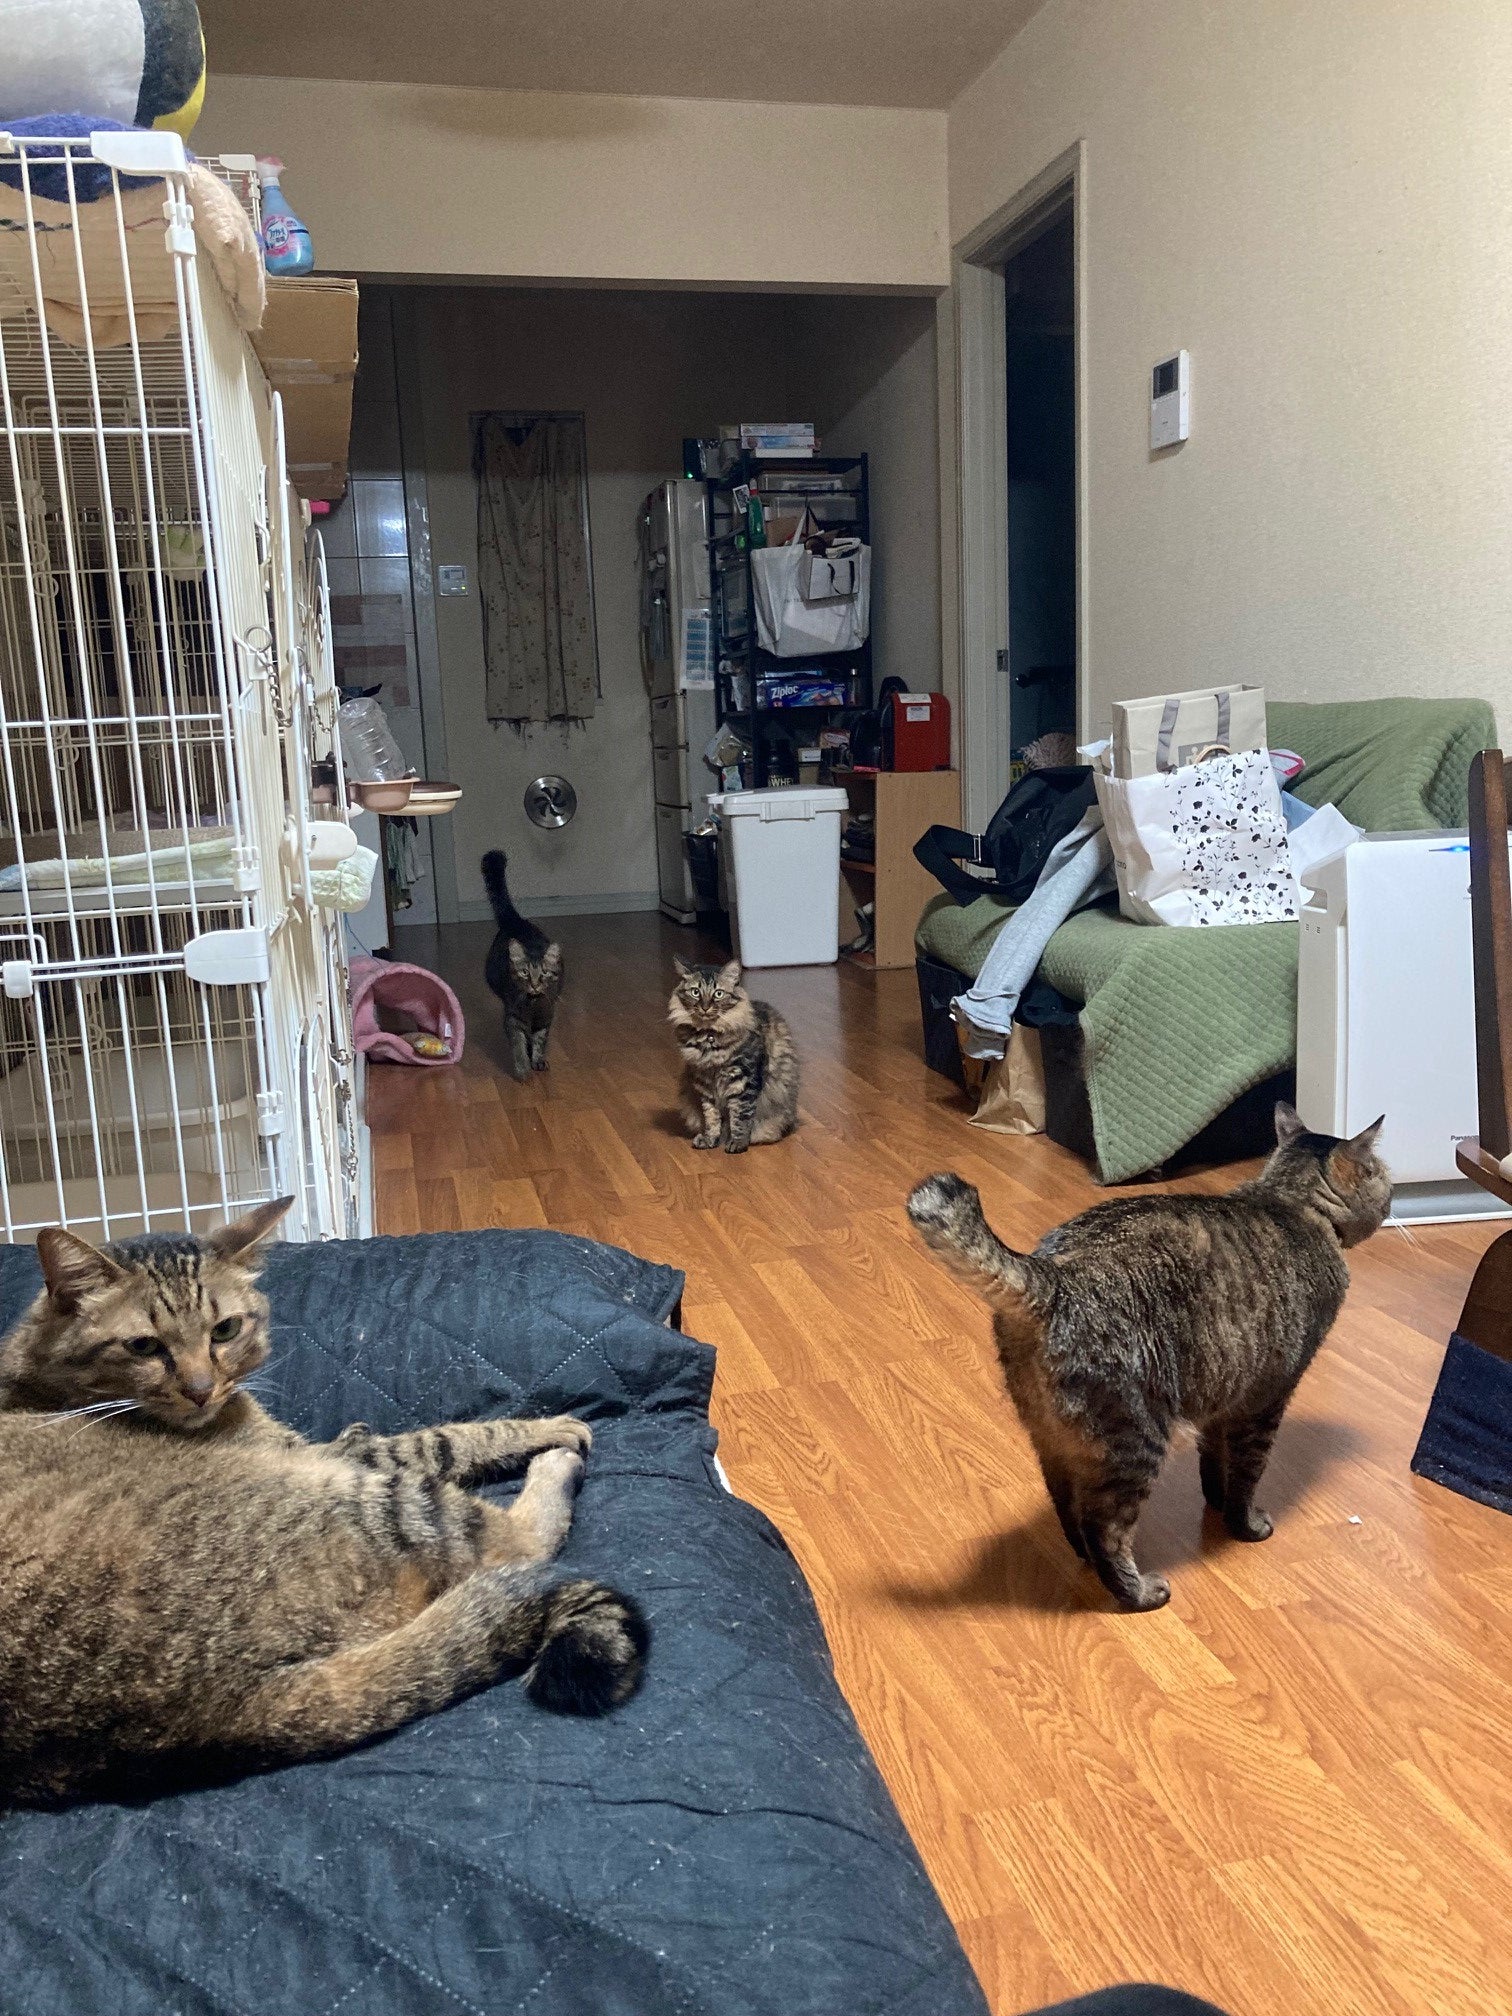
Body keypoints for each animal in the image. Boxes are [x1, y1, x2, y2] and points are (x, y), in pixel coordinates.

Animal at [0, 1201, 648, 1806]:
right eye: (143, 1345)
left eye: (224, 1330)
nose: (202, 1390)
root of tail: (210, 1716)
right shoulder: (344, 1458)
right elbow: (447, 1437)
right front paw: (549, 1426)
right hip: (377, 1502)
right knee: (522, 1546)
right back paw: (554, 1465)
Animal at [483, 849, 564, 1081]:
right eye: (525, 973)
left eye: (544, 973)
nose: (535, 985)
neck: (533, 1006)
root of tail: (516, 921)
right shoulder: (513, 1018)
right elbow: (518, 1044)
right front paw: (522, 1069)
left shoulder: (546, 1017)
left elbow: (539, 1041)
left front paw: (537, 1060)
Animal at [668, 957, 800, 1154]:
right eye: (695, 992)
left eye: (718, 994)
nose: (705, 1007)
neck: (709, 1038)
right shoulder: (705, 1085)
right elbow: (712, 1118)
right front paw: (711, 1139)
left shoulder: (744, 1081)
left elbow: (740, 1117)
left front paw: (737, 1143)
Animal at [906, 1103, 1391, 1612]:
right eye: (1381, 1174)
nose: (1393, 1198)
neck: (1291, 1202)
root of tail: (1052, 1279)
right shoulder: (1265, 1399)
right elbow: (1246, 1474)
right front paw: (1245, 1526)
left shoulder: (1225, 1394)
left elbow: (1214, 1463)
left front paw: (1215, 1502)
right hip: (1135, 1440)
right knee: (1104, 1529)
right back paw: (1137, 1591)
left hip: (1054, 1439)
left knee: (1068, 1509)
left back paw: (1087, 1559)